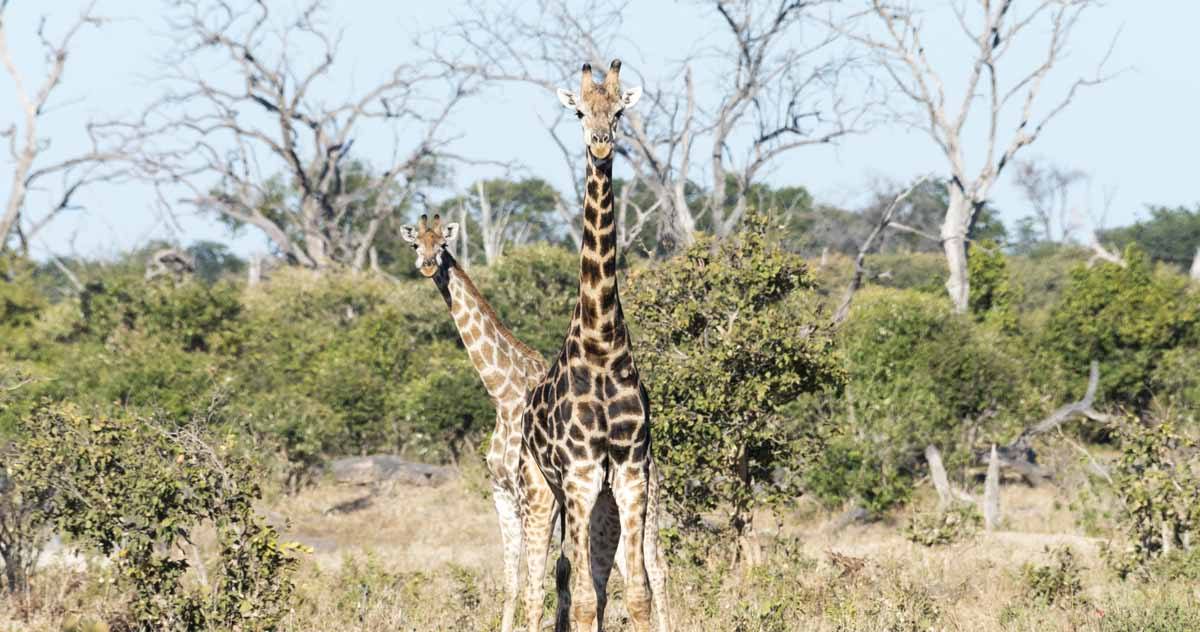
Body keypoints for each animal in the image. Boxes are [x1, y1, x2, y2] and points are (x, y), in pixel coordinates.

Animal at [516, 60, 667, 632]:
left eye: (620, 110)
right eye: (580, 112)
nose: (601, 145)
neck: (603, 345)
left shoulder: (629, 472)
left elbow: (637, 593)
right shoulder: (579, 475)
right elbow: (579, 599)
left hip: (598, 502)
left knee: (593, 582)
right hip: (539, 490)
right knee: (536, 584)